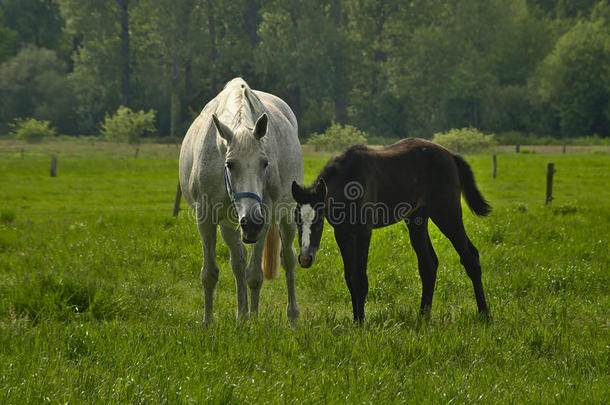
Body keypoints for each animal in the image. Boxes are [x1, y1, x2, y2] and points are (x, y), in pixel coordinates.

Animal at [179, 76, 302, 322]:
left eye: (264, 163)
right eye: (229, 164)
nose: (251, 221)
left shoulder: (264, 218)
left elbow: (254, 275)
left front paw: (254, 322)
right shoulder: (205, 218)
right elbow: (210, 274)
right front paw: (208, 323)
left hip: (286, 215)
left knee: (288, 259)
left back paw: (290, 317)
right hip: (229, 225)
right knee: (238, 263)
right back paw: (241, 316)